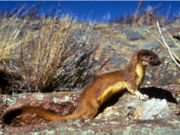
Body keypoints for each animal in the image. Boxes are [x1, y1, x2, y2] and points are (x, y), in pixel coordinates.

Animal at [2, 49, 160, 124]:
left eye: (157, 55)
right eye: (151, 57)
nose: (160, 62)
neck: (140, 75)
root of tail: (80, 105)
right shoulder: (130, 80)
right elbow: (133, 90)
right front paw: (143, 96)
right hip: (93, 105)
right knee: (84, 116)